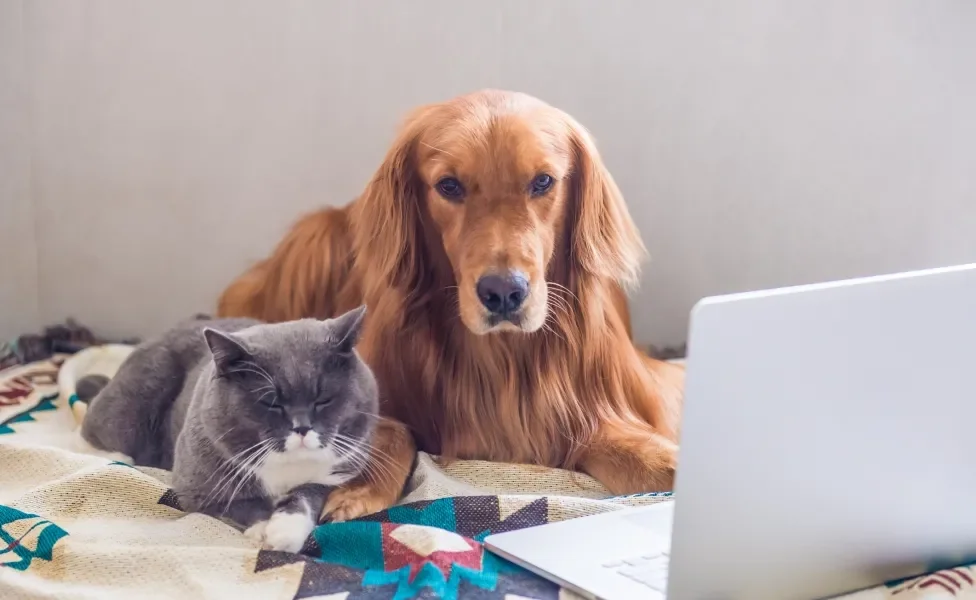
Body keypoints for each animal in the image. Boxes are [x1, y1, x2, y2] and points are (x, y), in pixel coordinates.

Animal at [78, 308, 378, 552]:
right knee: (93, 428)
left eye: (323, 399)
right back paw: (119, 457)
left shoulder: (338, 473)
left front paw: (285, 531)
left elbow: (309, 494)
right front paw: (264, 530)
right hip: (132, 402)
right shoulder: (197, 486)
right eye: (271, 402)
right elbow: (240, 504)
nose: (302, 427)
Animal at [217, 89, 684, 520]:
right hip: (316, 236)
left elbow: (647, 453)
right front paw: (358, 489)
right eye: (449, 186)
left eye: (543, 182)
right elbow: (388, 431)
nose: (504, 293)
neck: (502, 356)